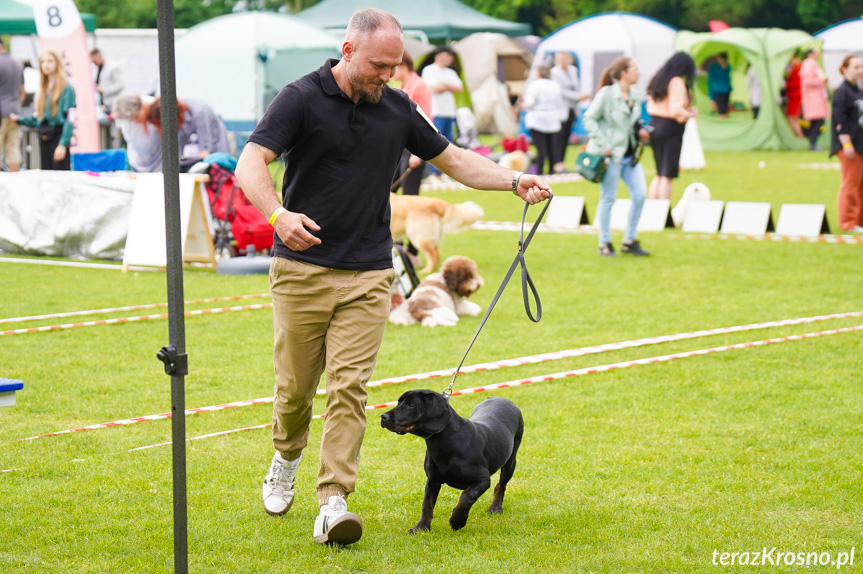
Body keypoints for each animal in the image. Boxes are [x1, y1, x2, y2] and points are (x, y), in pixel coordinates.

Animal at [380, 392, 528, 536]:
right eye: (399, 402)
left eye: (411, 404)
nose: (383, 416)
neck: (446, 442)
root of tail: (499, 398)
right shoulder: (432, 480)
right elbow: (427, 506)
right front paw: (421, 528)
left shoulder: (483, 480)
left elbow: (467, 497)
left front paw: (457, 521)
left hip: (510, 461)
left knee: (501, 485)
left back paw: (495, 508)